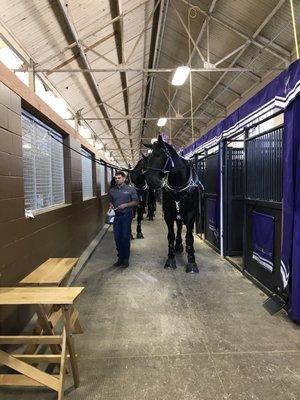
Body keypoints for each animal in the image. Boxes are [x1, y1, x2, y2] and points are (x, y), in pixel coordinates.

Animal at [144, 136, 203, 274]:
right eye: (148, 158)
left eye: (159, 155)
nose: (150, 180)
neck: (178, 185)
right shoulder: (169, 214)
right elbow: (170, 236)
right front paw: (170, 260)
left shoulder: (190, 215)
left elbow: (189, 238)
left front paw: (192, 262)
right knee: (179, 227)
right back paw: (178, 245)